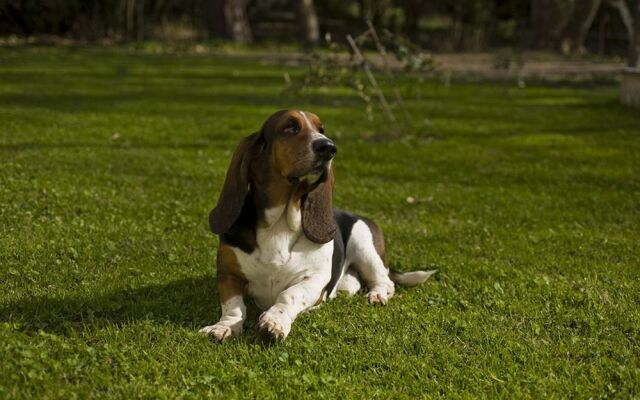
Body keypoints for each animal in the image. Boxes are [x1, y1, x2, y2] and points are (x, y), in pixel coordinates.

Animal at [202, 111, 438, 342]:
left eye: (321, 129)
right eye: (290, 127)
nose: (329, 148)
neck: (279, 223)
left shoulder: (313, 278)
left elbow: (289, 295)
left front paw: (274, 321)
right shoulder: (228, 273)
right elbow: (233, 306)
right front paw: (225, 327)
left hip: (364, 244)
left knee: (385, 281)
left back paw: (376, 295)